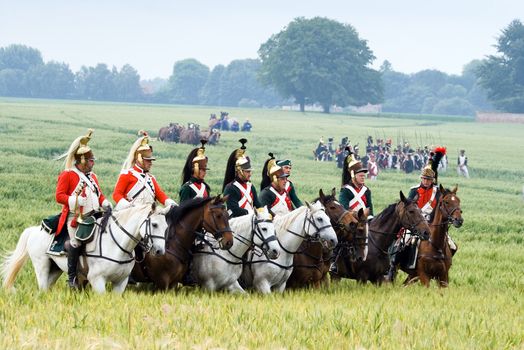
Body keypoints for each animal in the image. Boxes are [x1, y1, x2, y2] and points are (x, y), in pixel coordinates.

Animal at [0, 204, 168, 294]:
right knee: (42, 287)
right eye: (154, 224)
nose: (160, 251)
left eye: (166, 226)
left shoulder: (121, 282)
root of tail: (34, 230)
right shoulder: (97, 280)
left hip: (55, 269)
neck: (116, 245)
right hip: (42, 265)